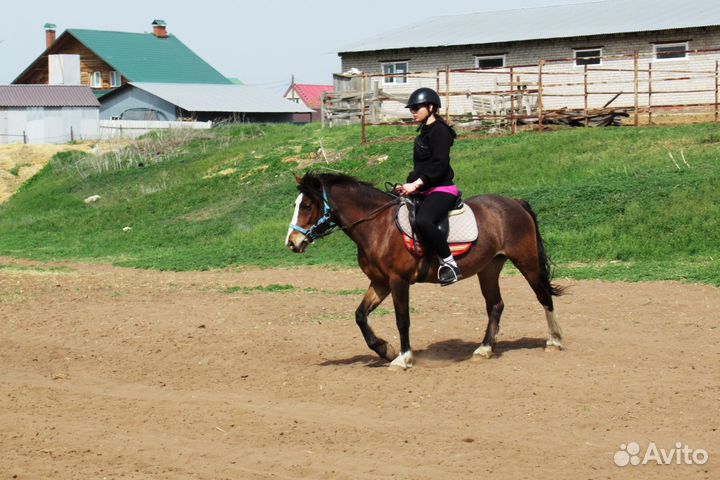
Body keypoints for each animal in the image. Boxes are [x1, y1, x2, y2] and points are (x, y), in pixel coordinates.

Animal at [284, 173, 564, 372]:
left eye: (307, 205)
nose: (292, 242)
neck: (378, 226)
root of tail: (515, 203)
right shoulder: (380, 282)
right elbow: (360, 316)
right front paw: (385, 349)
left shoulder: (398, 281)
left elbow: (402, 319)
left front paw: (403, 358)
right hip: (489, 268)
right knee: (495, 305)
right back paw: (484, 349)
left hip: (526, 261)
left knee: (544, 297)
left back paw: (554, 341)